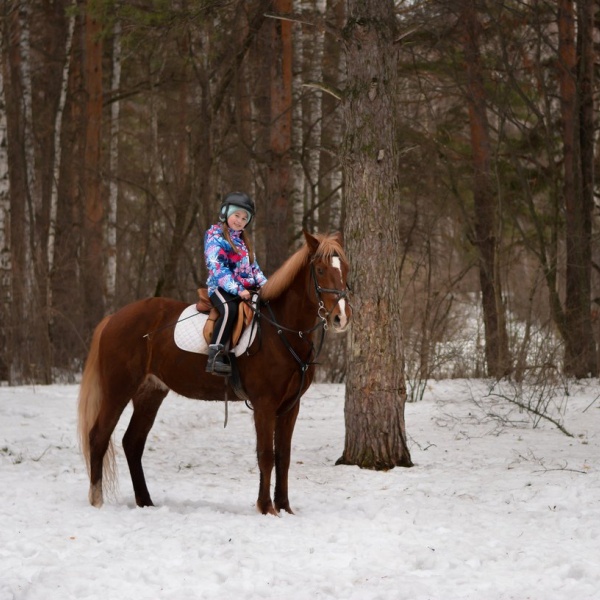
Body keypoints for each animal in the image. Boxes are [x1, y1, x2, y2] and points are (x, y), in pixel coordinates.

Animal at [79, 232, 352, 512]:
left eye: (345, 269)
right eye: (320, 270)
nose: (341, 317)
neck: (280, 331)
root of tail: (113, 318)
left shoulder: (289, 407)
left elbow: (283, 457)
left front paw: (284, 507)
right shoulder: (264, 404)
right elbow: (266, 455)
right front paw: (266, 508)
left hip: (150, 393)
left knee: (132, 443)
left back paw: (145, 501)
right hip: (118, 390)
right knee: (98, 436)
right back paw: (97, 500)